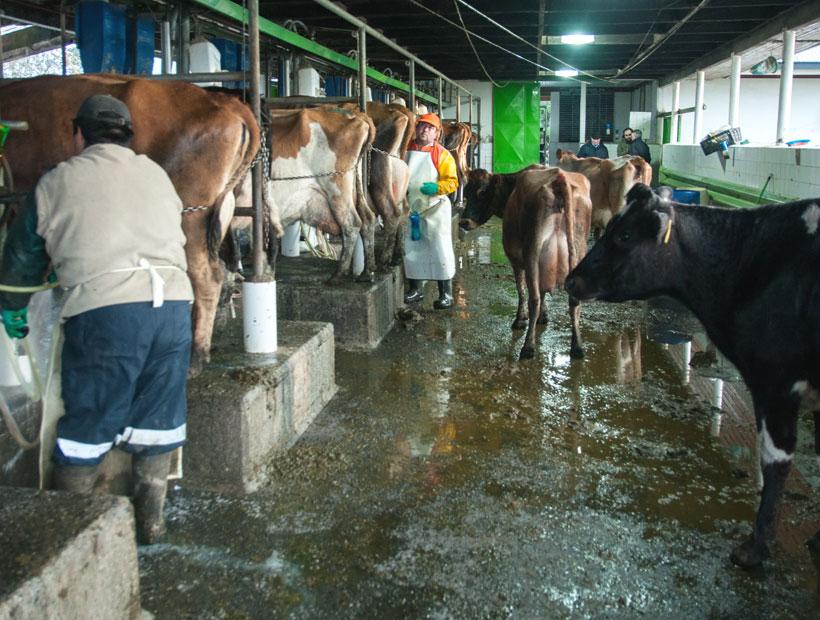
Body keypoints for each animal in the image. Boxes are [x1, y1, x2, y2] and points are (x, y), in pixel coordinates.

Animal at [462, 167, 588, 360]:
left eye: (482, 192)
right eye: (466, 192)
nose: (463, 222)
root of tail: (559, 177)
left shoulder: (515, 259)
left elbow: (521, 290)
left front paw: (521, 319)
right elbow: (543, 293)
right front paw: (544, 317)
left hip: (532, 256)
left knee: (533, 299)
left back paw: (528, 347)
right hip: (577, 255)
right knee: (574, 302)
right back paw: (577, 347)